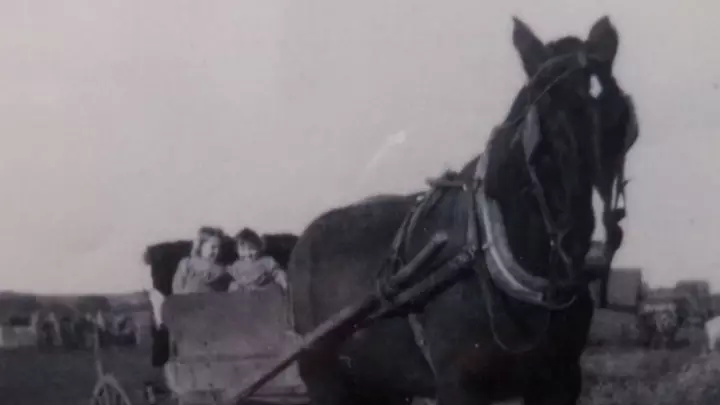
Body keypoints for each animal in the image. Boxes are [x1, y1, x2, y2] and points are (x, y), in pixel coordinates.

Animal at [287, 16, 636, 405]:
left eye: (623, 124)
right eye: (542, 129)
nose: (589, 251)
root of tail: (303, 240)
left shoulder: (561, 380)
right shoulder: (460, 385)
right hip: (324, 380)